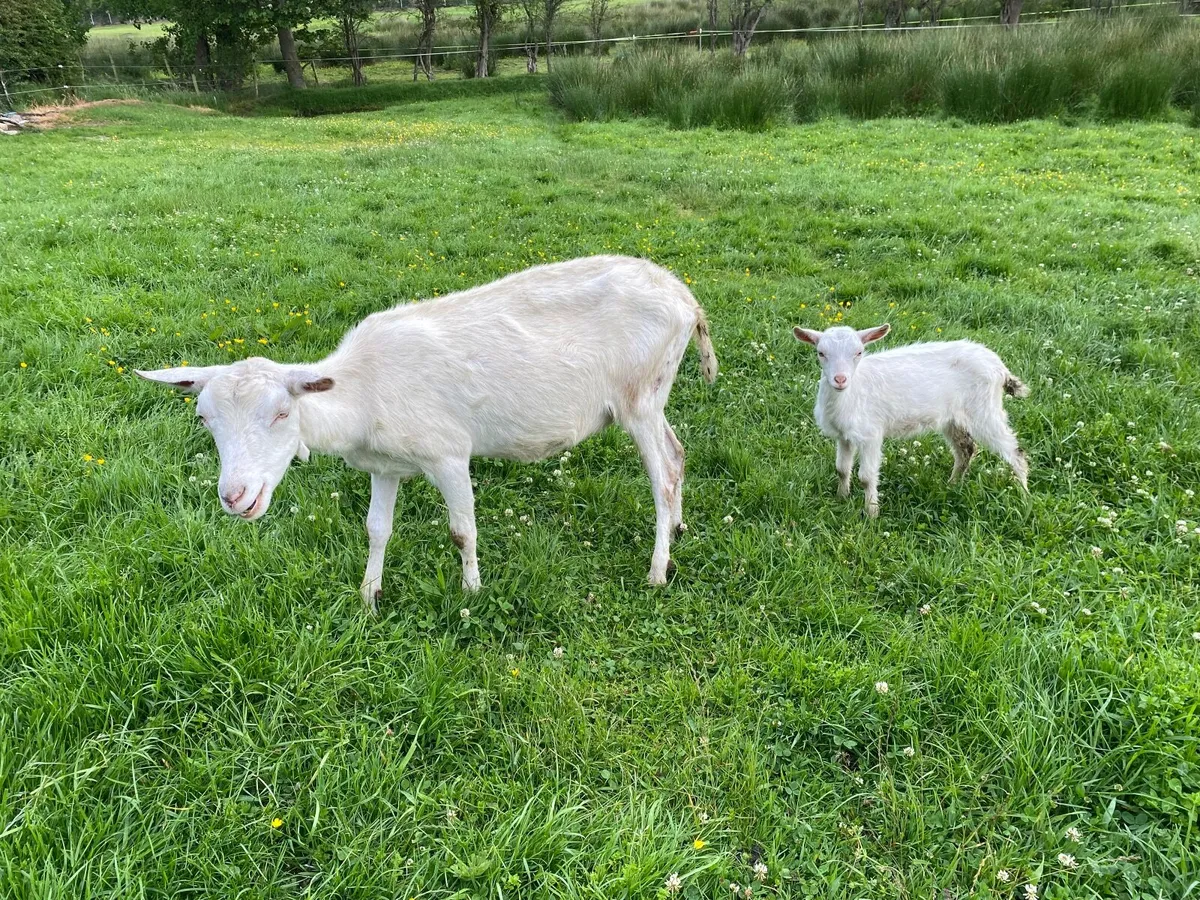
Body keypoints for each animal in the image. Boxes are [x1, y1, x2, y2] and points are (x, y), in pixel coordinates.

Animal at [138, 255, 718, 611]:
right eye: (203, 419)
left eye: (282, 413)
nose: (236, 497)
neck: (362, 394)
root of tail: (686, 299)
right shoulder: (385, 466)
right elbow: (376, 529)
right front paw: (368, 595)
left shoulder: (448, 454)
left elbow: (463, 531)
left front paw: (471, 592)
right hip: (654, 397)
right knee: (679, 453)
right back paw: (679, 529)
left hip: (639, 397)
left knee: (664, 475)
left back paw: (658, 569)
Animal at [793, 324, 1028, 516]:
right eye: (821, 353)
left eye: (858, 352)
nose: (840, 379)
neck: (851, 393)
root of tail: (999, 367)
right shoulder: (844, 436)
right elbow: (841, 469)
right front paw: (841, 498)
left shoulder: (871, 435)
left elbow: (866, 477)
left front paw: (872, 513)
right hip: (954, 419)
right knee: (966, 449)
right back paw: (952, 485)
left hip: (985, 410)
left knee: (1015, 451)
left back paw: (1023, 494)